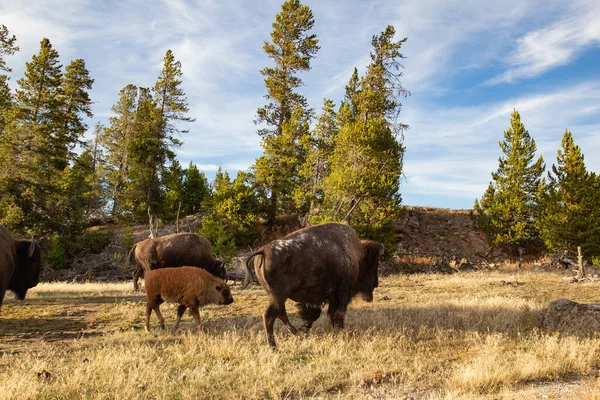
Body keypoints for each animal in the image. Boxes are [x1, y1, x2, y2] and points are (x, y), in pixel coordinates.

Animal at [241, 223, 382, 348]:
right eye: (373, 263)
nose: (376, 284)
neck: (353, 252)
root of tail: (263, 251)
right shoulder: (341, 294)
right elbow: (337, 315)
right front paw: (340, 333)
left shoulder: (316, 299)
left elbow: (316, 314)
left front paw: (305, 330)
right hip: (279, 296)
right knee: (270, 316)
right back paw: (274, 347)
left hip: (276, 296)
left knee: (280, 314)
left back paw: (296, 333)